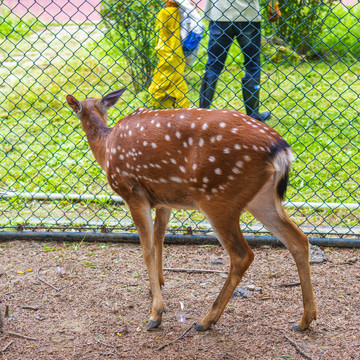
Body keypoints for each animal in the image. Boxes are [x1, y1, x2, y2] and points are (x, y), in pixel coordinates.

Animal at [66, 89, 316, 332]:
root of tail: (281, 150)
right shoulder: (164, 200)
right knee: (299, 239)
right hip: (262, 200)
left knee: (243, 254)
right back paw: (305, 319)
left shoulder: (132, 191)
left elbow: (147, 249)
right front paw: (158, 285)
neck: (106, 147)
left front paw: (156, 313)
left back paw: (206, 320)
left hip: (218, 198)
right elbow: (159, 238)